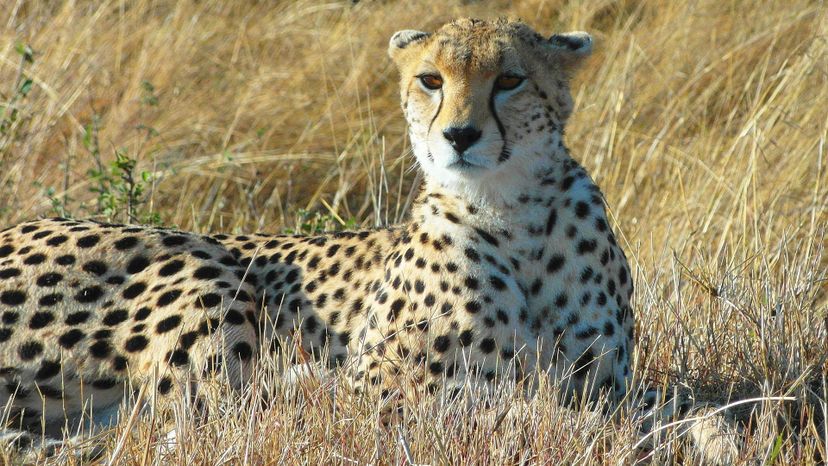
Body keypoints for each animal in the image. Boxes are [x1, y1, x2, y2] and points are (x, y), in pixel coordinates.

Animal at [0, 17, 736, 462]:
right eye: (430, 80)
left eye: (510, 79)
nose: (459, 135)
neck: (515, 212)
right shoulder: (385, 395)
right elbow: (521, 412)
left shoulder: (605, 378)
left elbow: (685, 409)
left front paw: (718, 437)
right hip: (202, 267)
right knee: (196, 419)